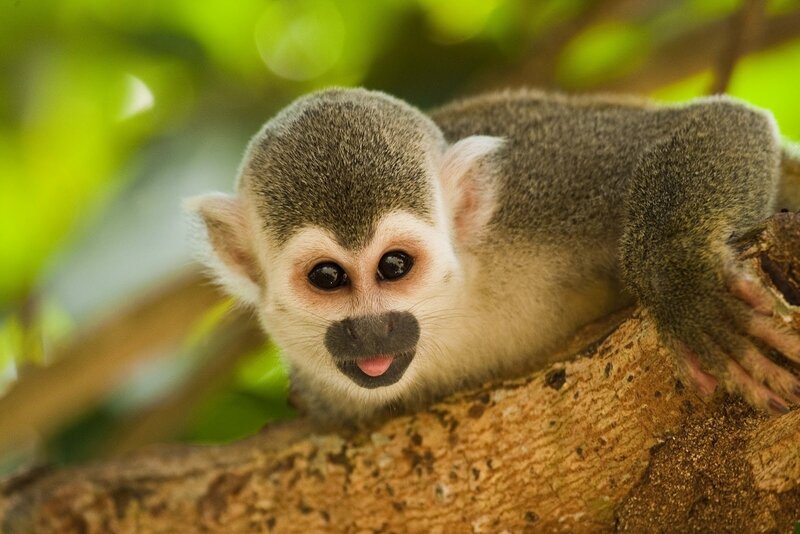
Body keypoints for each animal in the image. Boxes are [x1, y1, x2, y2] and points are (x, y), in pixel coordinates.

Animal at [187, 87, 800, 427]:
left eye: (393, 266)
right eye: (327, 277)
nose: (372, 331)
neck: (462, 308)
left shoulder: (540, 179)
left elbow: (715, 122)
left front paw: (681, 280)